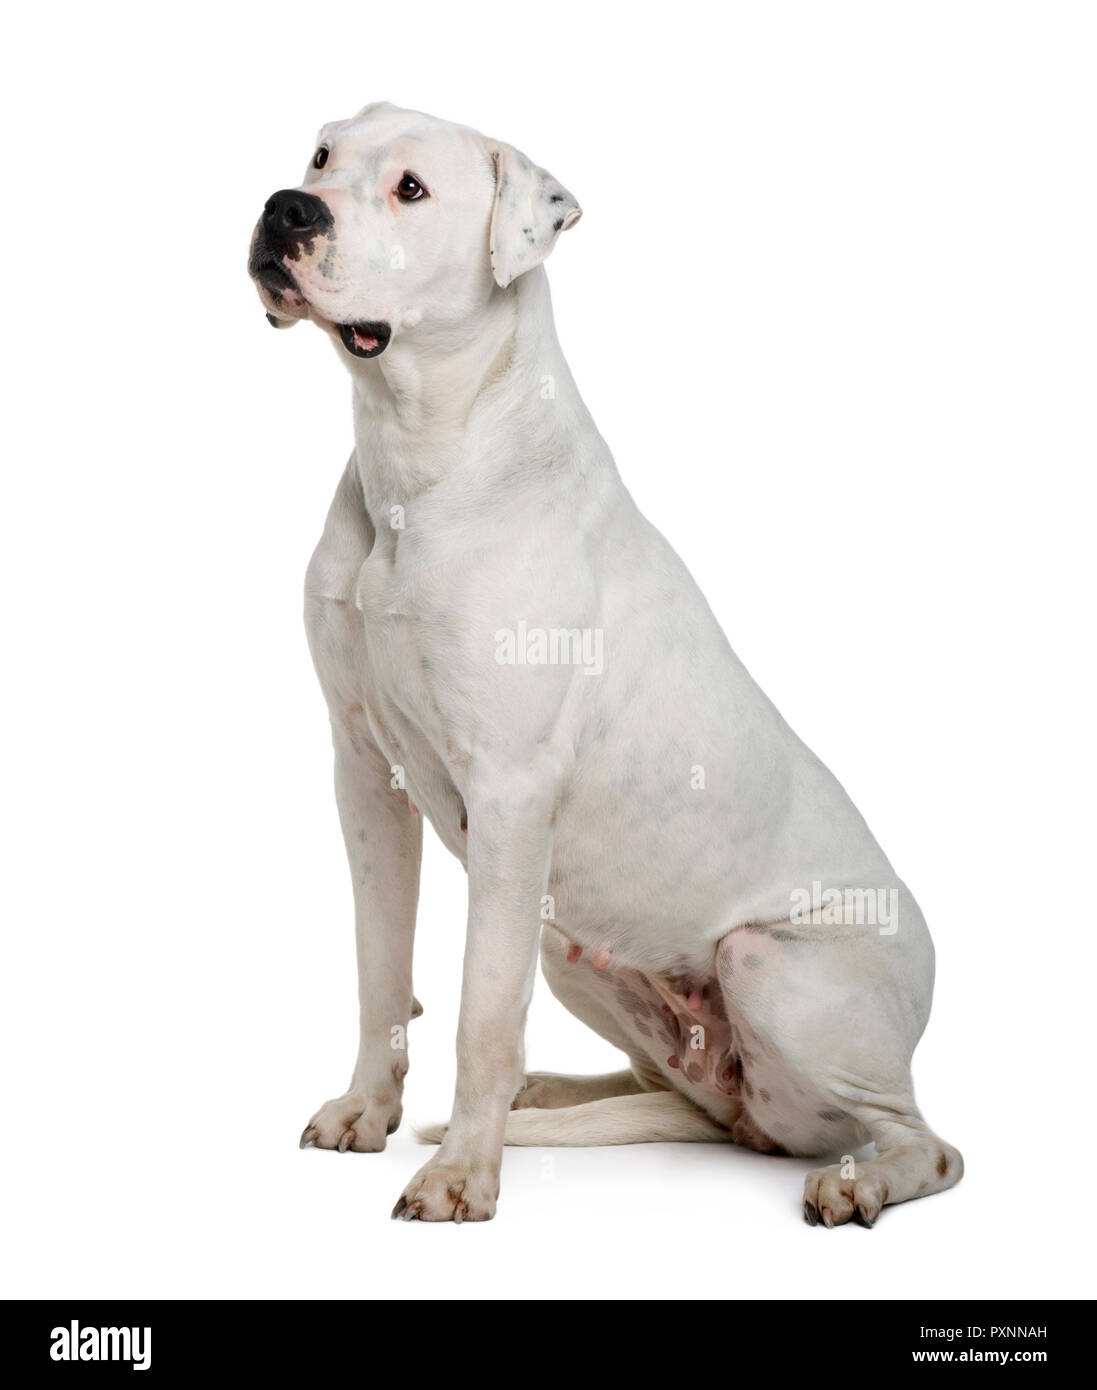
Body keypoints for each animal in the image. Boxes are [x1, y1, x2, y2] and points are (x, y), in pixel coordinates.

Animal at [246, 102, 956, 1223]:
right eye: (318, 158)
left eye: (410, 189)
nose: (286, 209)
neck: (414, 458)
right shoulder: (362, 772)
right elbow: (378, 966)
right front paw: (371, 1109)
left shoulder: (509, 796)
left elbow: (479, 1010)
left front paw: (461, 1177)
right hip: (570, 943)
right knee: (672, 1090)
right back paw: (548, 1098)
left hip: (767, 966)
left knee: (922, 1142)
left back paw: (857, 1183)